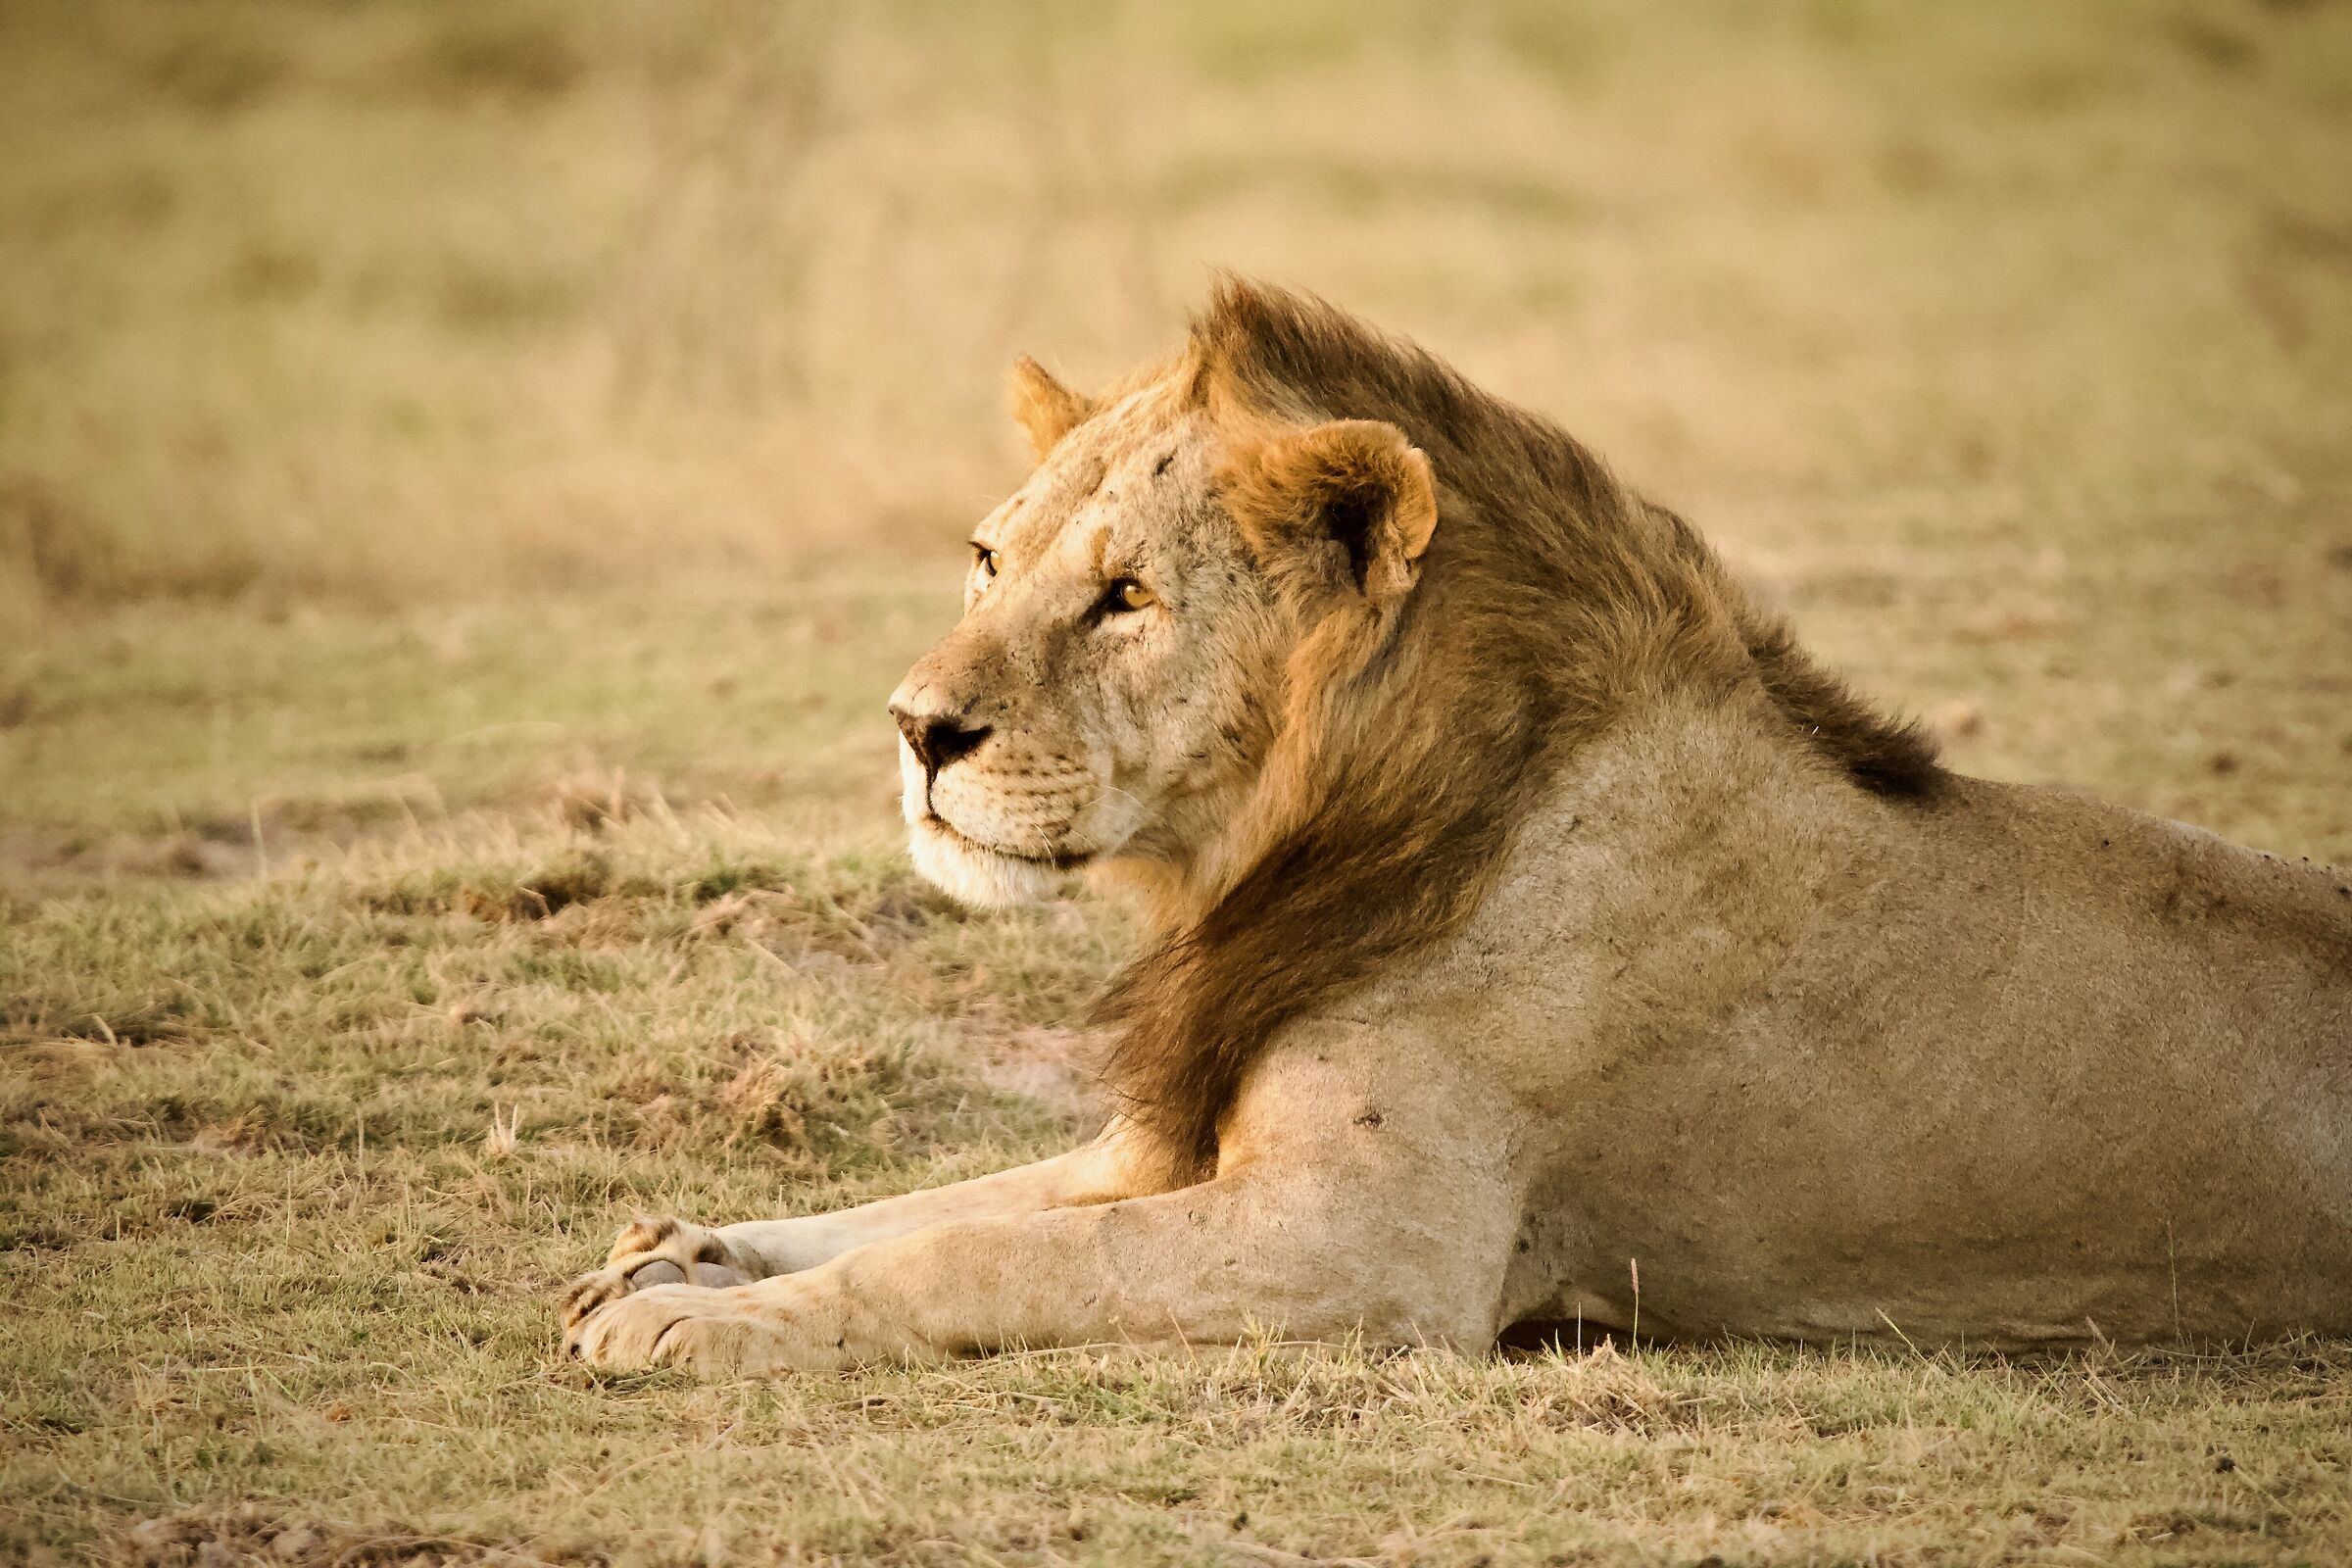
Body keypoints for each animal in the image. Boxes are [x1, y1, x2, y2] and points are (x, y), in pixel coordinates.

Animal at [563, 279, 2352, 1373]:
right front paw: (676, 1259)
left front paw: (702, 1331)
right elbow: (936, 1202)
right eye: (990, 561)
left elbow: (968, 1261)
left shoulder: (1373, 1249)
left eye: (1128, 598)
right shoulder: (1170, 1151)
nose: (916, 730)